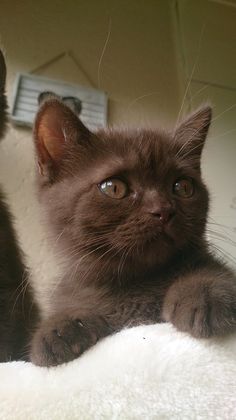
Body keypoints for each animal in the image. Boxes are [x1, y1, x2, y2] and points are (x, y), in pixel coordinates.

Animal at [29, 94, 236, 364]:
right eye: (114, 187)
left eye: (182, 186)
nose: (163, 210)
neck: (134, 282)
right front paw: (59, 327)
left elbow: (213, 270)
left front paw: (204, 292)